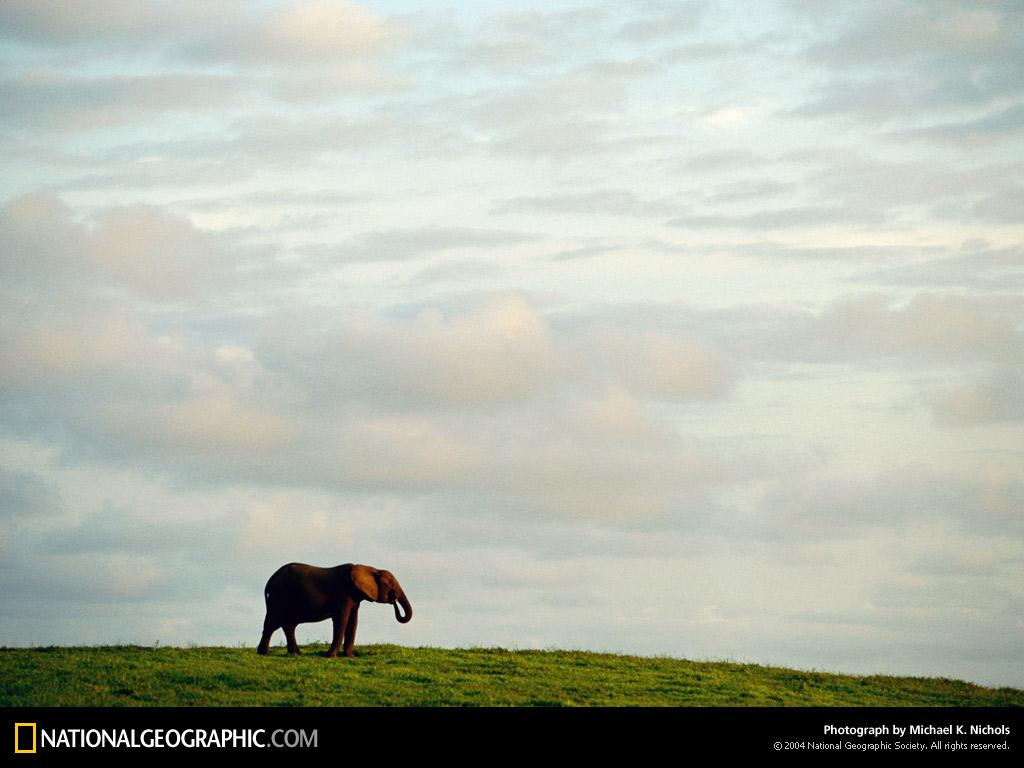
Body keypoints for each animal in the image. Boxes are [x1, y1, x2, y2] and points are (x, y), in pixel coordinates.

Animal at [256, 561, 411, 659]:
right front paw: (331, 657)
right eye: (387, 584)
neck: (368, 568)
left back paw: (295, 654)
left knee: (288, 625)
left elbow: (353, 621)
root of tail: (269, 581)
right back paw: (264, 654)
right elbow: (342, 619)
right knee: (272, 624)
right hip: (278, 598)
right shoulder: (344, 594)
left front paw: (350, 657)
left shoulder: (355, 598)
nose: (394, 597)